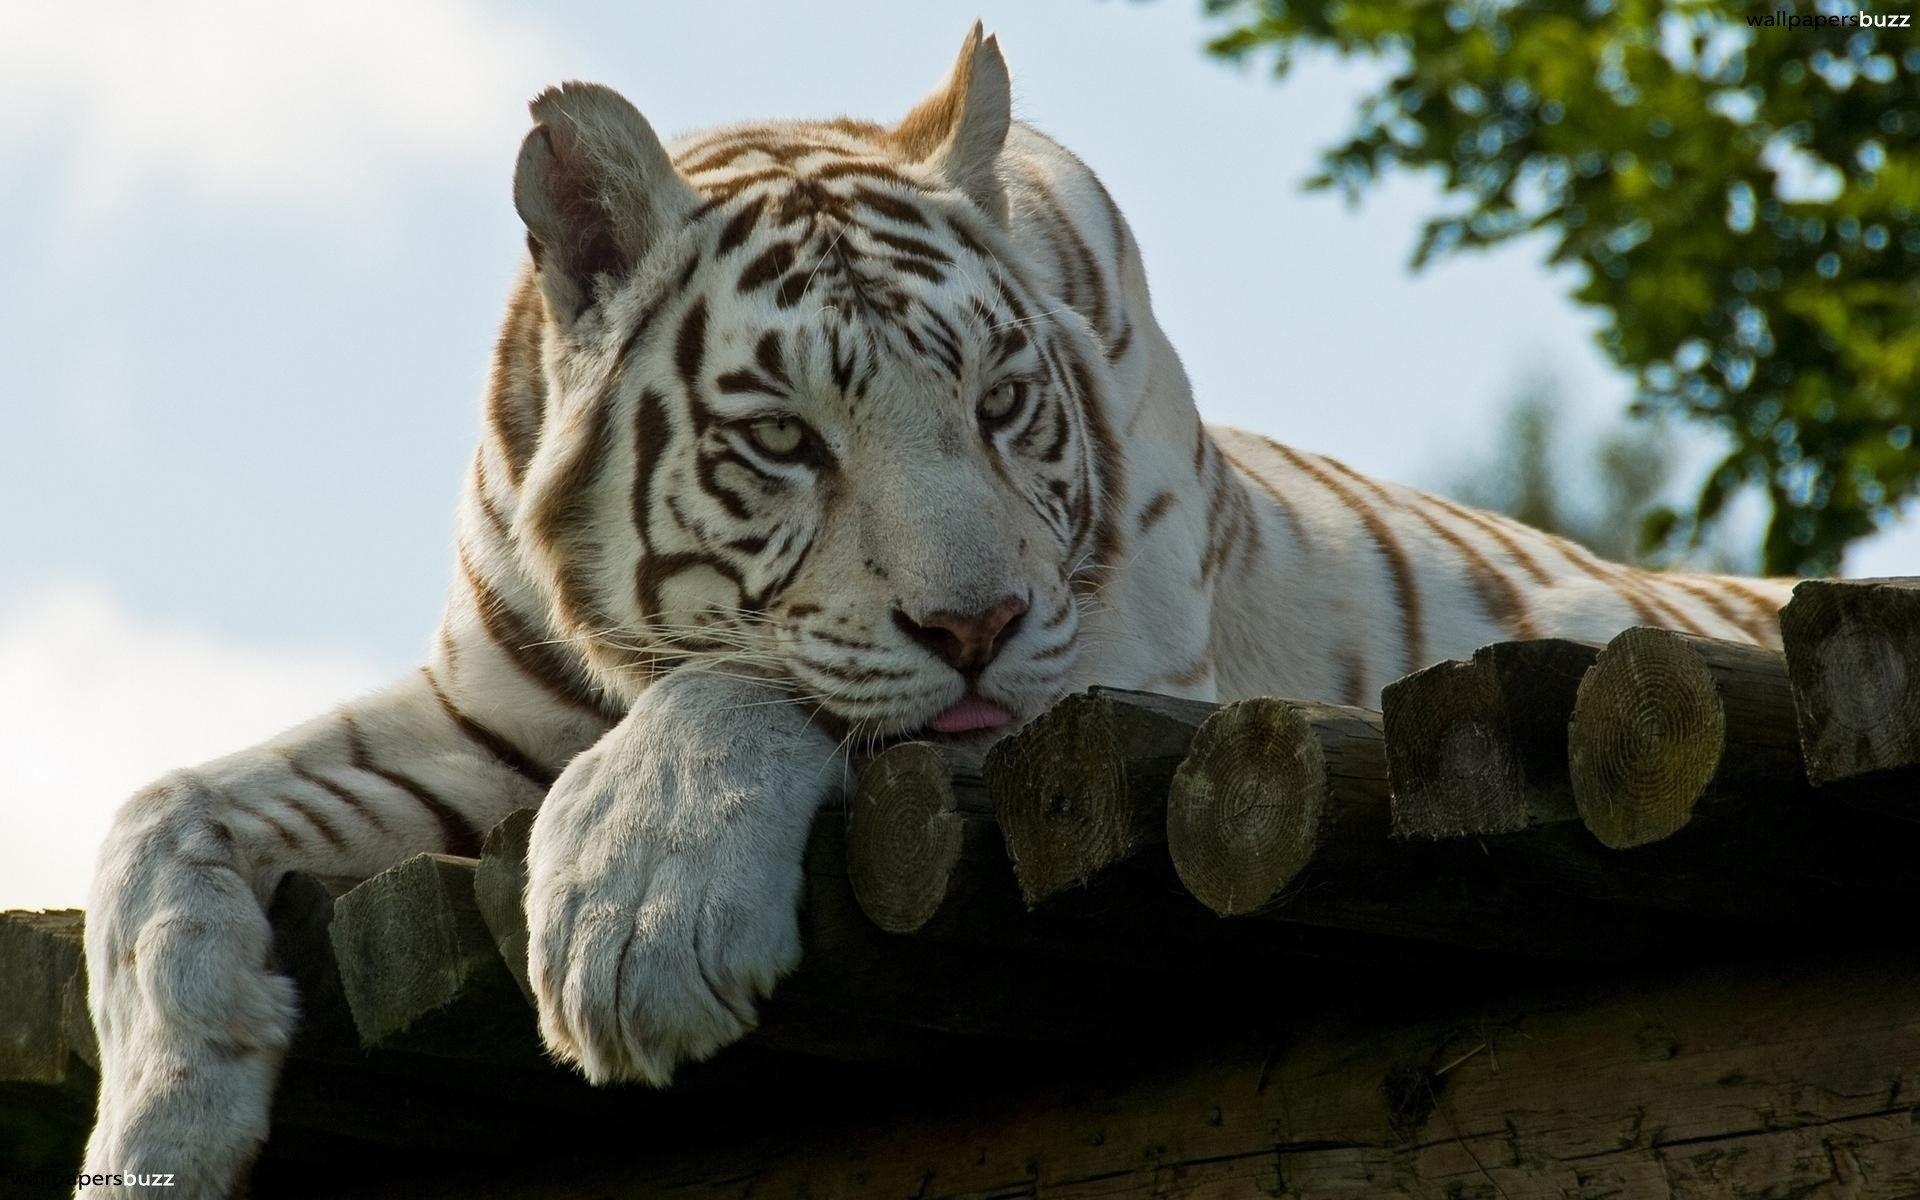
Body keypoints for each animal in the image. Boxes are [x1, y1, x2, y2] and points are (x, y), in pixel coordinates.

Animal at [74, 23, 1781, 1190]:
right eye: (784, 439)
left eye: (1002, 404)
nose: (977, 626)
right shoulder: (479, 719)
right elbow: (160, 811)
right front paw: (156, 1130)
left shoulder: (1103, 672)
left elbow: (762, 685)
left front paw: (635, 925)